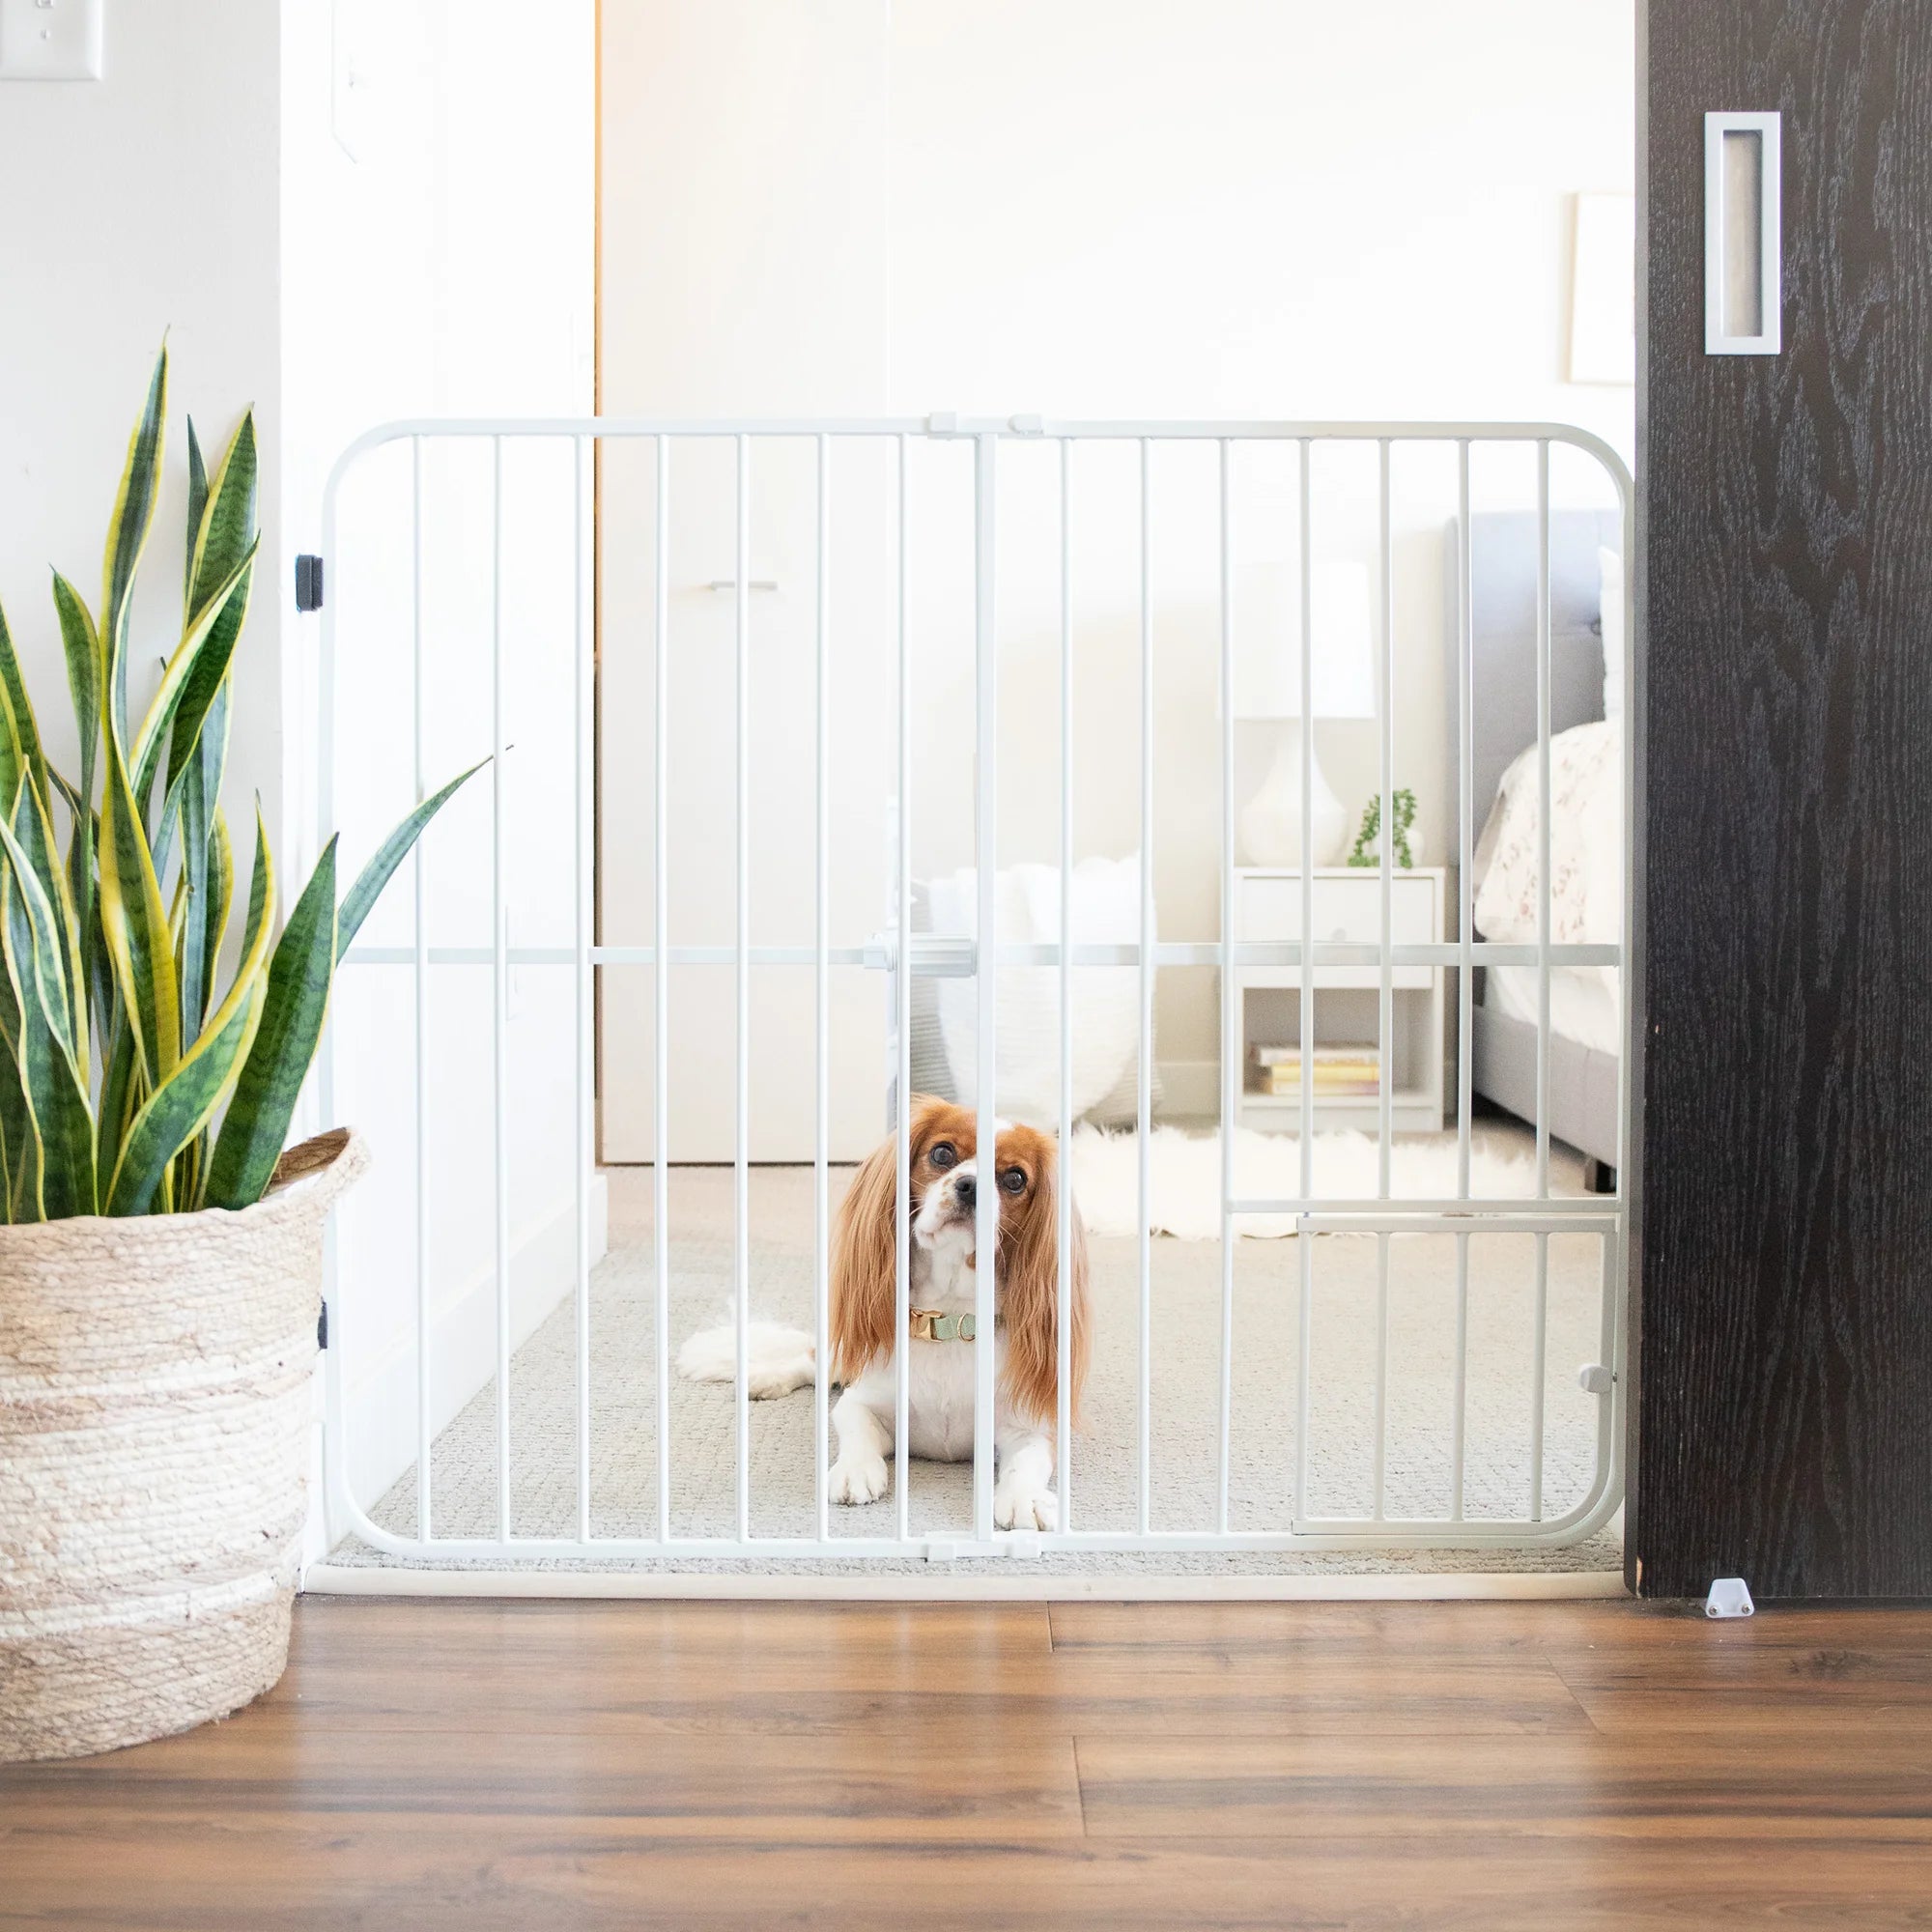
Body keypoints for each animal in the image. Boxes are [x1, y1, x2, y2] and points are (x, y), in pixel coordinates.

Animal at [684, 1105, 1090, 1522]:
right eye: (942, 1153)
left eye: (1015, 1179)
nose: (971, 1186)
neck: (949, 1319)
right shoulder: (861, 1402)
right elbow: (856, 1428)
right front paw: (855, 1471)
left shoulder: (1030, 1427)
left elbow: (1027, 1462)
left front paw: (1025, 1498)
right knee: (812, 1362)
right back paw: (765, 1379)